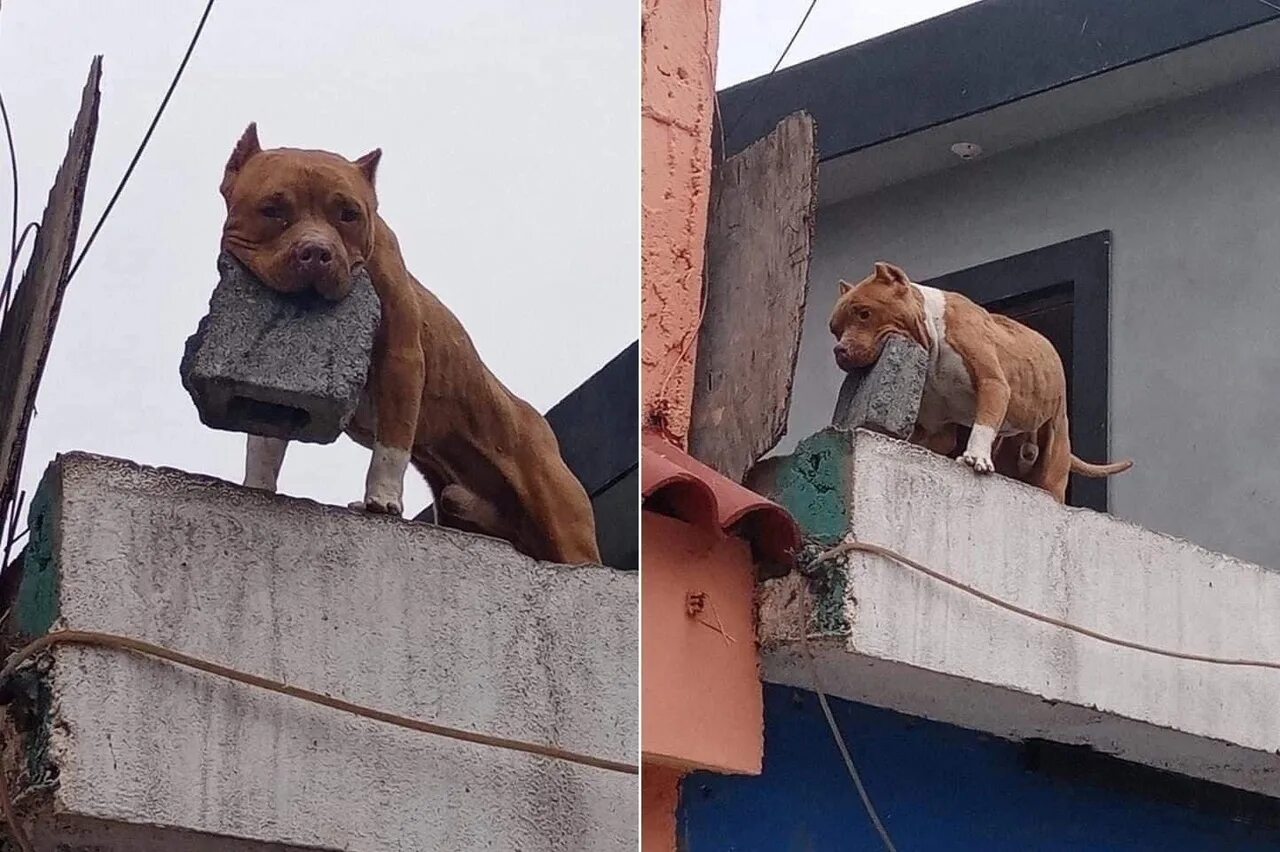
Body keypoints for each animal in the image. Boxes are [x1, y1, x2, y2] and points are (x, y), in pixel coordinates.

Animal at [217, 122, 601, 562]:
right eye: (273, 210)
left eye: (349, 215)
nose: (317, 252)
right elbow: (264, 441)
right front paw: (256, 487)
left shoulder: (401, 359)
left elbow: (393, 442)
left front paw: (381, 501)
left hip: (563, 521)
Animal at [829, 258, 1131, 498]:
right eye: (835, 329)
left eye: (864, 313)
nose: (839, 350)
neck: (934, 332)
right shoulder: (936, 428)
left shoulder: (992, 384)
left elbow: (983, 423)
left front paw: (976, 457)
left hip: (1054, 453)